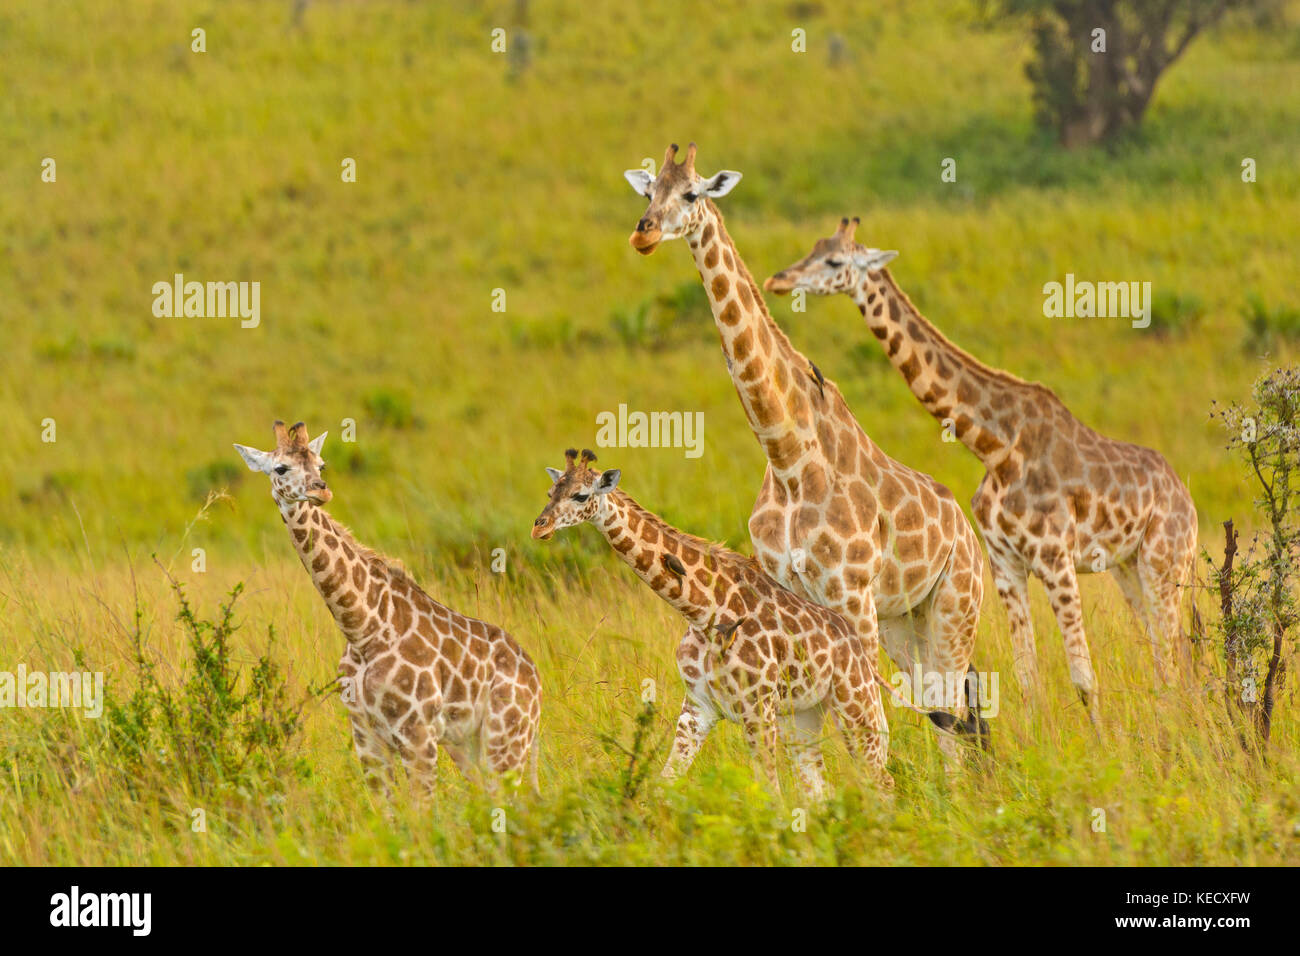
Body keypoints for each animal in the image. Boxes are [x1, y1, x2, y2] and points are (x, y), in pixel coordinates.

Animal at [232, 418, 538, 790]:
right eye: (281, 468)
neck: (364, 629)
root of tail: (536, 679)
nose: (321, 490)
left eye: (321, 465)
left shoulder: (417, 733)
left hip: (506, 739)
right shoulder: (365, 736)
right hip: (472, 745)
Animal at [527, 447, 904, 801]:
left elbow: (771, 792)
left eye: (581, 495)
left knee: (881, 782)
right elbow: (664, 784)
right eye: (550, 492)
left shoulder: (757, 709)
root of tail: (859, 650)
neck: (703, 613)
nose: (539, 527)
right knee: (819, 789)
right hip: (803, 716)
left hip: (855, 706)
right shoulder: (697, 709)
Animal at [626, 143, 982, 754]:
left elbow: (868, 721)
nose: (644, 234)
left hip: (953, 608)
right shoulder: (797, 594)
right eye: (649, 191)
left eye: (692, 193)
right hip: (904, 620)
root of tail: (972, 536)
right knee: (940, 707)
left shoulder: (850, 593)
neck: (788, 455)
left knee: (948, 709)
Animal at [759, 218, 1196, 712]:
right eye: (813, 248)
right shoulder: (1005, 564)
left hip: (1164, 560)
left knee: (1170, 653)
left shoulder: (1055, 558)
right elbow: (1028, 679)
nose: (779, 280)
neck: (995, 447)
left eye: (834, 261)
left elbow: (1084, 680)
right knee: (1167, 650)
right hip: (1128, 567)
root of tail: (1187, 499)